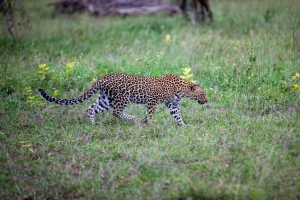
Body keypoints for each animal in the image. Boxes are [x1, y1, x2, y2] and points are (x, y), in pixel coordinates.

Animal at [38, 73, 207, 126]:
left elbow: (177, 116)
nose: (207, 101)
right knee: (116, 112)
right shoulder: (153, 100)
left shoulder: (172, 105)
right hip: (122, 97)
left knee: (90, 108)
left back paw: (92, 125)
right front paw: (146, 124)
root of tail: (101, 78)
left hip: (105, 99)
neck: (181, 90)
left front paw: (184, 126)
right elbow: (150, 114)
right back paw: (132, 119)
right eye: (203, 94)